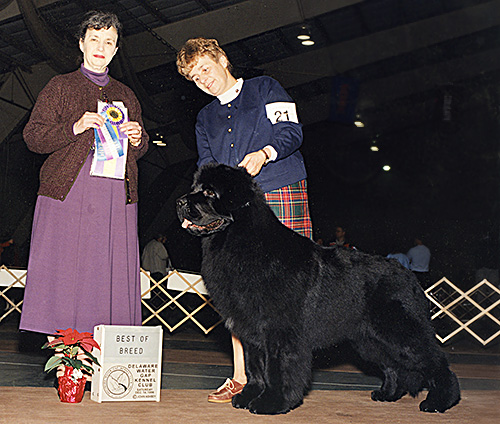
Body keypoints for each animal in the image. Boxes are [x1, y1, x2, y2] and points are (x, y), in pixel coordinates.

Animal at [177, 164, 460, 416]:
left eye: (210, 192)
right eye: (194, 188)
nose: (180, 202)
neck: (242, 243)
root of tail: (408, 275)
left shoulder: (280, 332)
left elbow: (277, 370)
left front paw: (272, 403)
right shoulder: (252, 332)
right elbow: (254, 368)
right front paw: (248, 397)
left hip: (399, 330)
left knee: (434, 361)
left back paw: (440, 401)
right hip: (369, 339)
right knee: (393, 366)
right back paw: (387, 394)